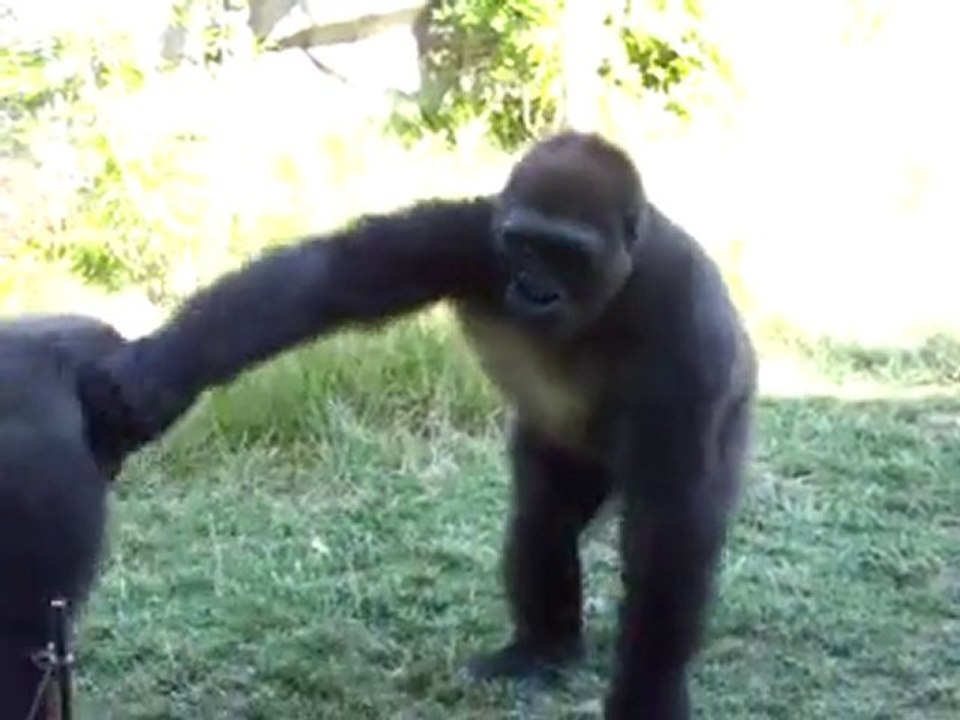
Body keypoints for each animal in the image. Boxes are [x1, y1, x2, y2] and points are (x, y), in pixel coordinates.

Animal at [81, 131, 758, 719]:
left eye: (567, 254)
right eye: (524, 245)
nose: (534, 287)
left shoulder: (684, 324)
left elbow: (670, 531)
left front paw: (647, 694)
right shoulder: (471, 235)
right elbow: (332, 277)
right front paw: (161, 369)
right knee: (544, 516)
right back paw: (544, 649)